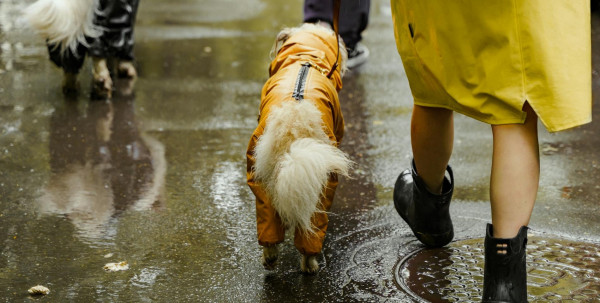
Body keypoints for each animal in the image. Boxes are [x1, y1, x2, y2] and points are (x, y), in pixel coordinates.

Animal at [247, 23, 354, 274]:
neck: (306, 58)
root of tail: (295, 119)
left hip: (260, 173)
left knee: (268, 223)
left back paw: (270, 257)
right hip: (324, 179)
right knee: (312, 229)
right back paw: (311, 264)